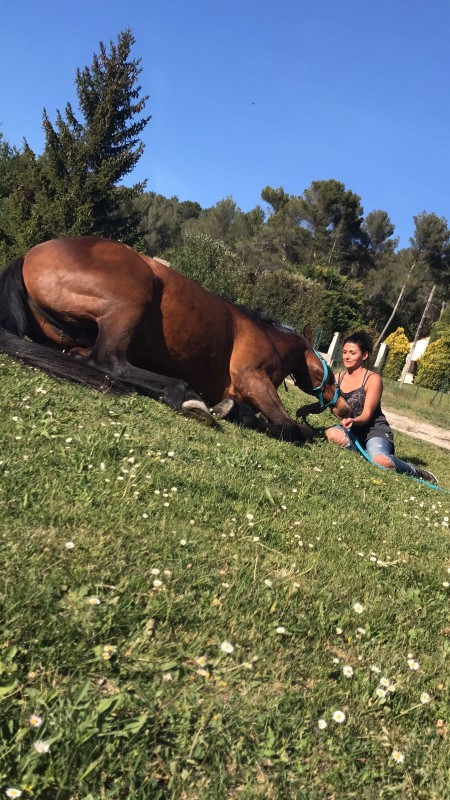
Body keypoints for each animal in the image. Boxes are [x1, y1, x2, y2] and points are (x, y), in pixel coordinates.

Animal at [0, 236, 352, 442]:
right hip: (131, 300)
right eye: (326, 371)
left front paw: (230, 411)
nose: (346, 407)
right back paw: (182, 393)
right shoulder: (254, 380)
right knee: (109, 363)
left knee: (83, 358)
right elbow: (291, 428)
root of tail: (28, 256)